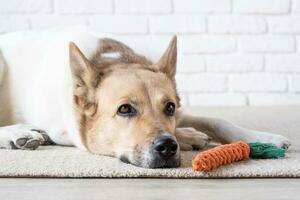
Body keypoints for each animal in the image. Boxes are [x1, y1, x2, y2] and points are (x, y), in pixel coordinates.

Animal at [0, 25, 290, 168]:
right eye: (124, 109)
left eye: (169, 107)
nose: (168, 147)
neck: (114, 60)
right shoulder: (65, 132)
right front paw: (189, 136)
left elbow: (217, 120)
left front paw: (264, 138)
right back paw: (18, 134)